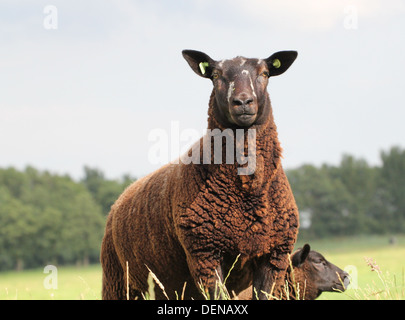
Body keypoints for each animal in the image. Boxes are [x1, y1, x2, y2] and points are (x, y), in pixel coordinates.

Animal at [101, 48, 300, 298]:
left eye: (265, 73)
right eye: (215, 75)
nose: (243, 101)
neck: (247, 192)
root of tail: (119, 200)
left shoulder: (274, 256)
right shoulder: (205, 254)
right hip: (119, 280)